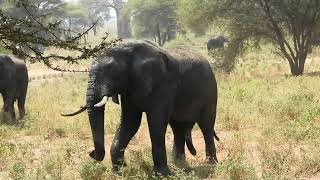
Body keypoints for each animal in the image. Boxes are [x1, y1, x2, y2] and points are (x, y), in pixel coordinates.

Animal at [62, 40, 219, 176]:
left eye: (113, 72)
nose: (91, 153)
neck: (129, 53)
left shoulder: (161, 84)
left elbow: (156, 123)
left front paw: (162, 174)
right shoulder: (129, 89)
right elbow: (130, 122)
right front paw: (119, 172)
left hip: (211, 91)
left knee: (206, 125)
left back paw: (210, 163)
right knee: (178, 127)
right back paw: (179, 163)